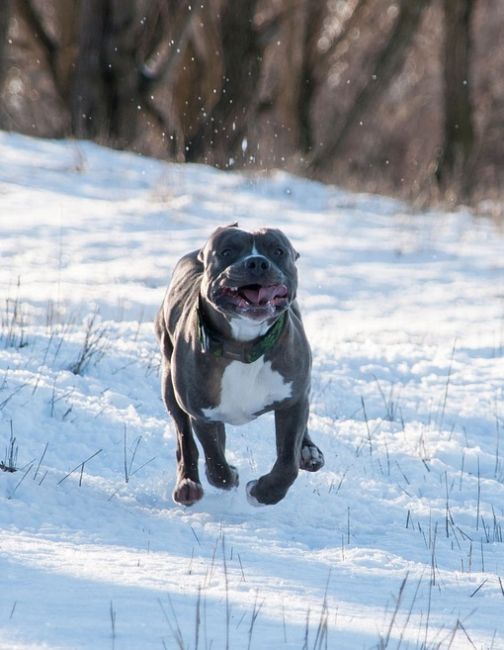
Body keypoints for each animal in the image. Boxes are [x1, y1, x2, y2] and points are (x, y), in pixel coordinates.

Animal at [154, 224, 324, 506]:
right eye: (227, 251)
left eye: (278, 251)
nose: (257, 263)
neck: (245, 347)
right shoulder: (202, 412)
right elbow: (214, 458)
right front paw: (229, 476)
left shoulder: (293, 400)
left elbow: (287, 463)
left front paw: (262, 493)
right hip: (170, 383)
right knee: (184, 438)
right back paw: (188, 485)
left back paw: (309, 452)